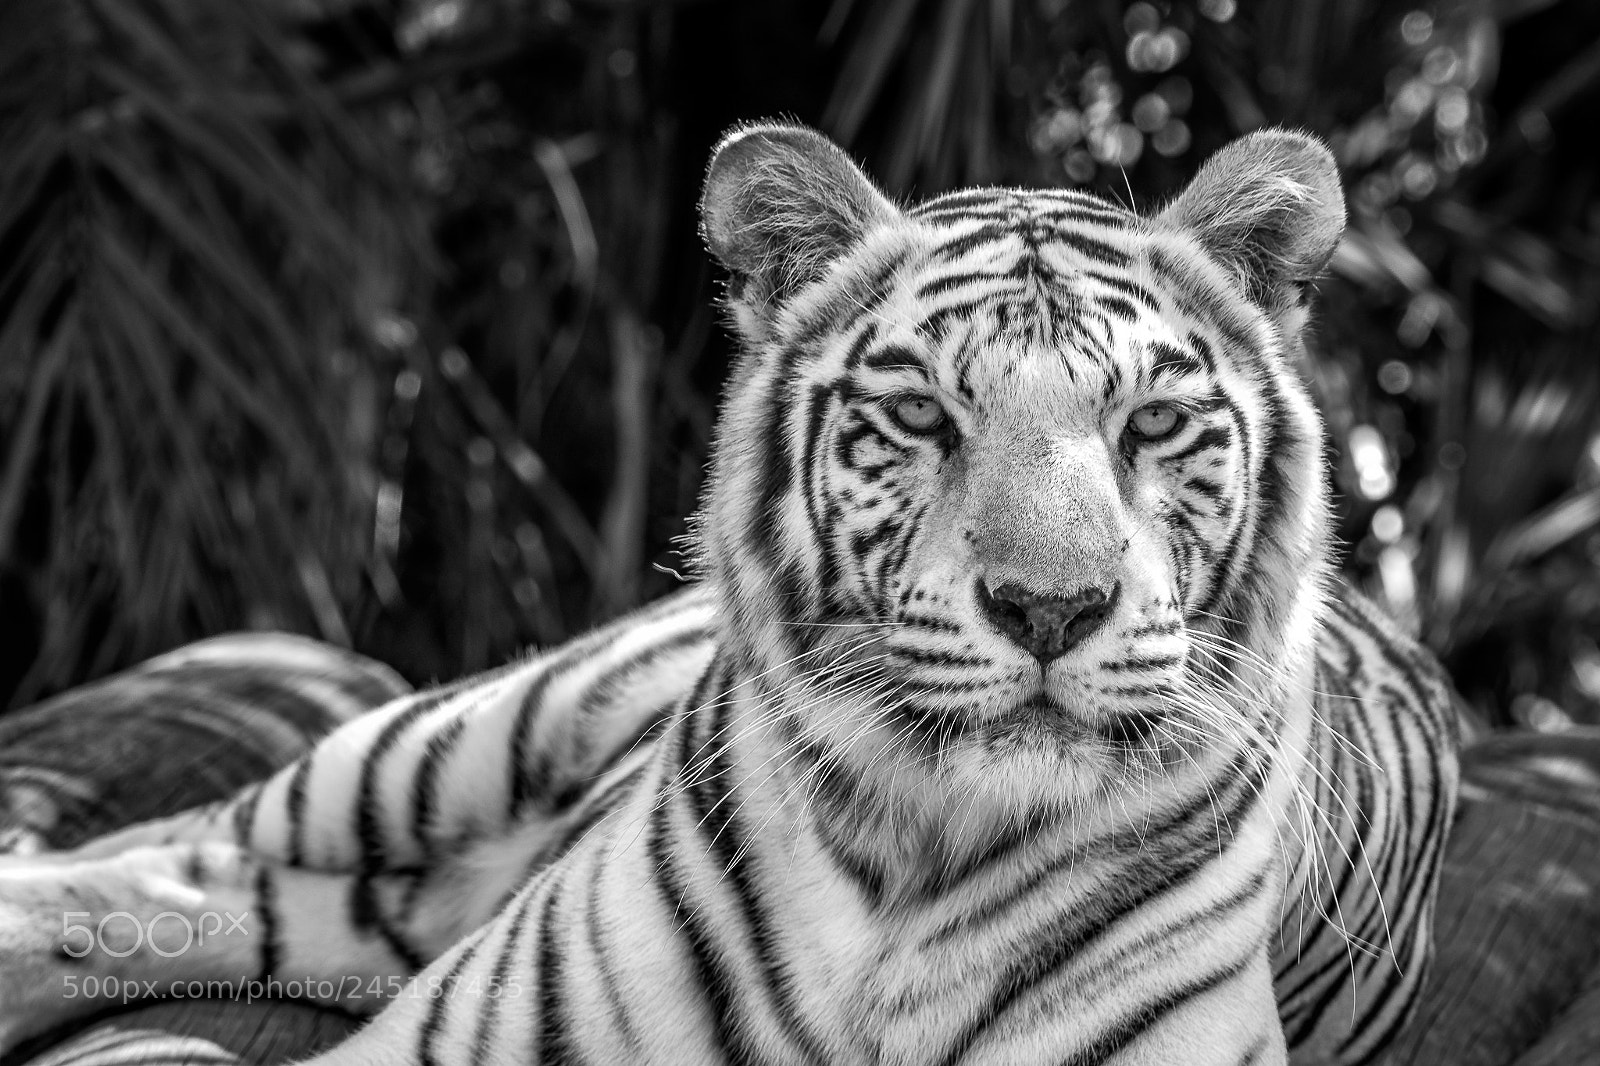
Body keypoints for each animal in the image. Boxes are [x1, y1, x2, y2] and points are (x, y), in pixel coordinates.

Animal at [0, 122, 1459, 1066]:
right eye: (920, 416)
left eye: (1152, 424)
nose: (1051, 608)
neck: (916, 858)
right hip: (429, 747)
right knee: (174, 836)